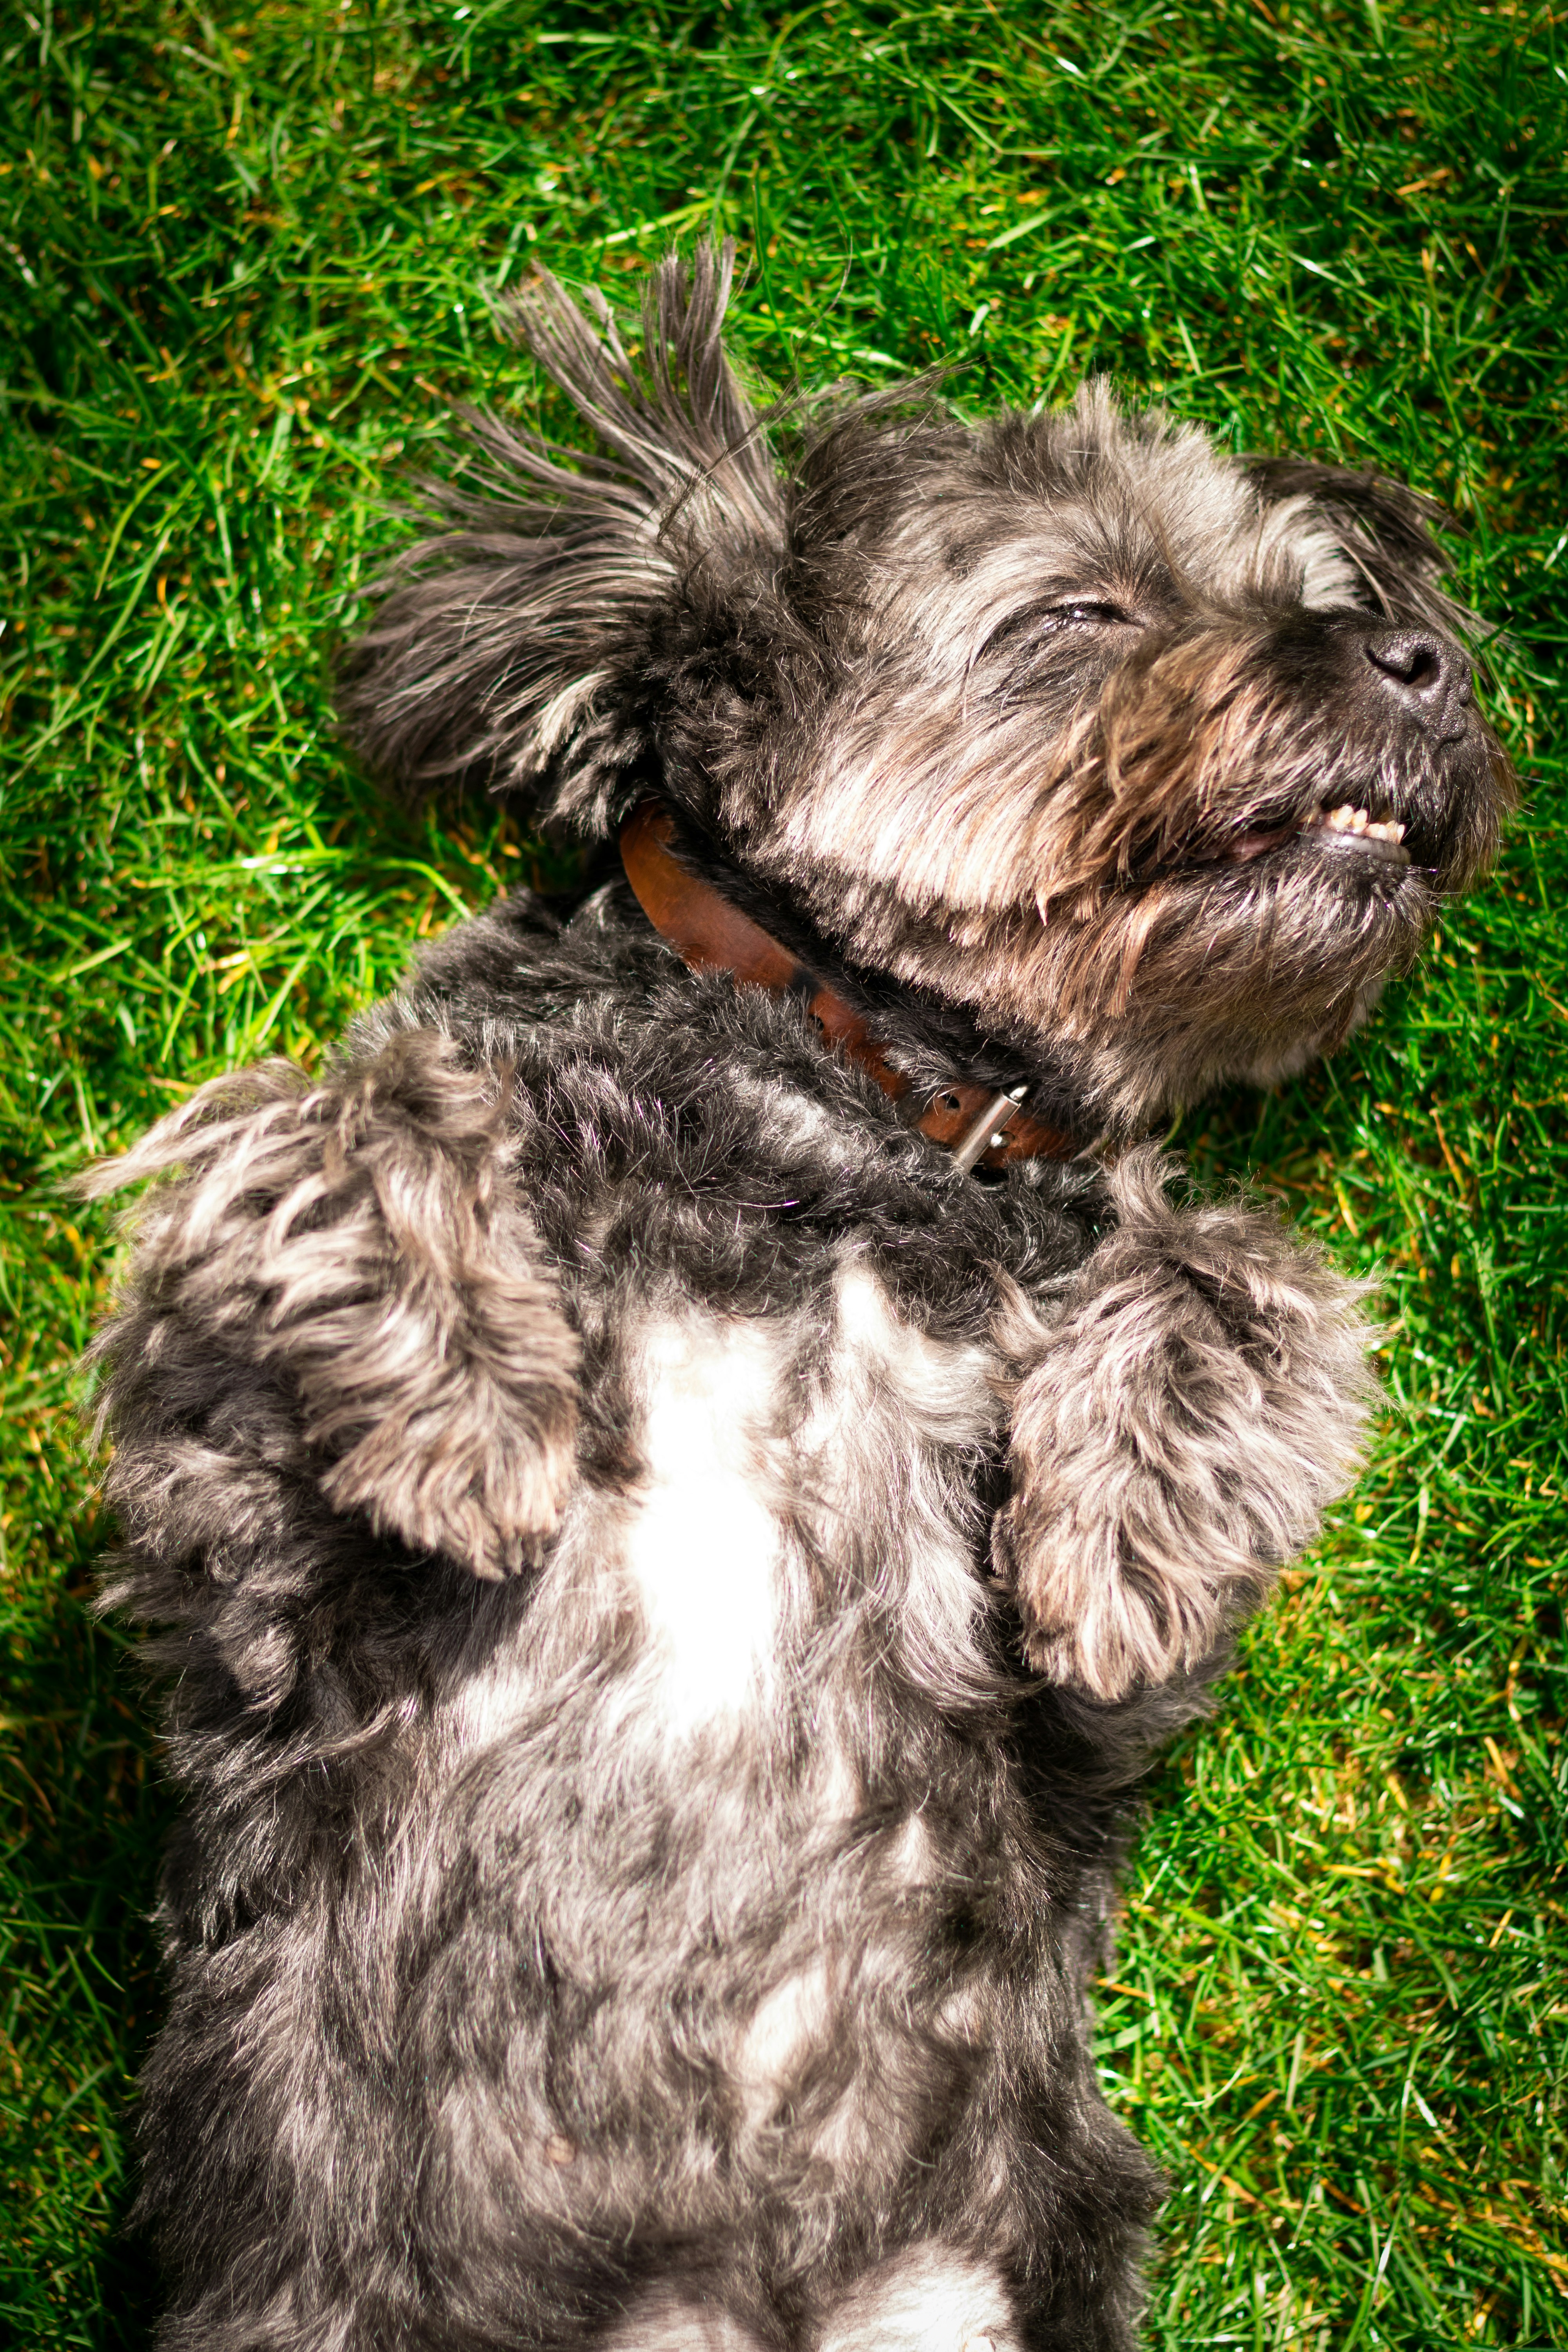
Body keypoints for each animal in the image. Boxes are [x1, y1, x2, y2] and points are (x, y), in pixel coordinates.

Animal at [85, 253, 1504, 2352]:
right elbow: (335, 1102)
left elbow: (1242, 1261)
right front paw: (466, 1400)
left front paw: (1132, 1521)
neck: (845, 1116)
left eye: (1315, 592)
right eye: (1076, 611)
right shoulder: (229, 1545)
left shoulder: (1096, 1726)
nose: (1420, 660)